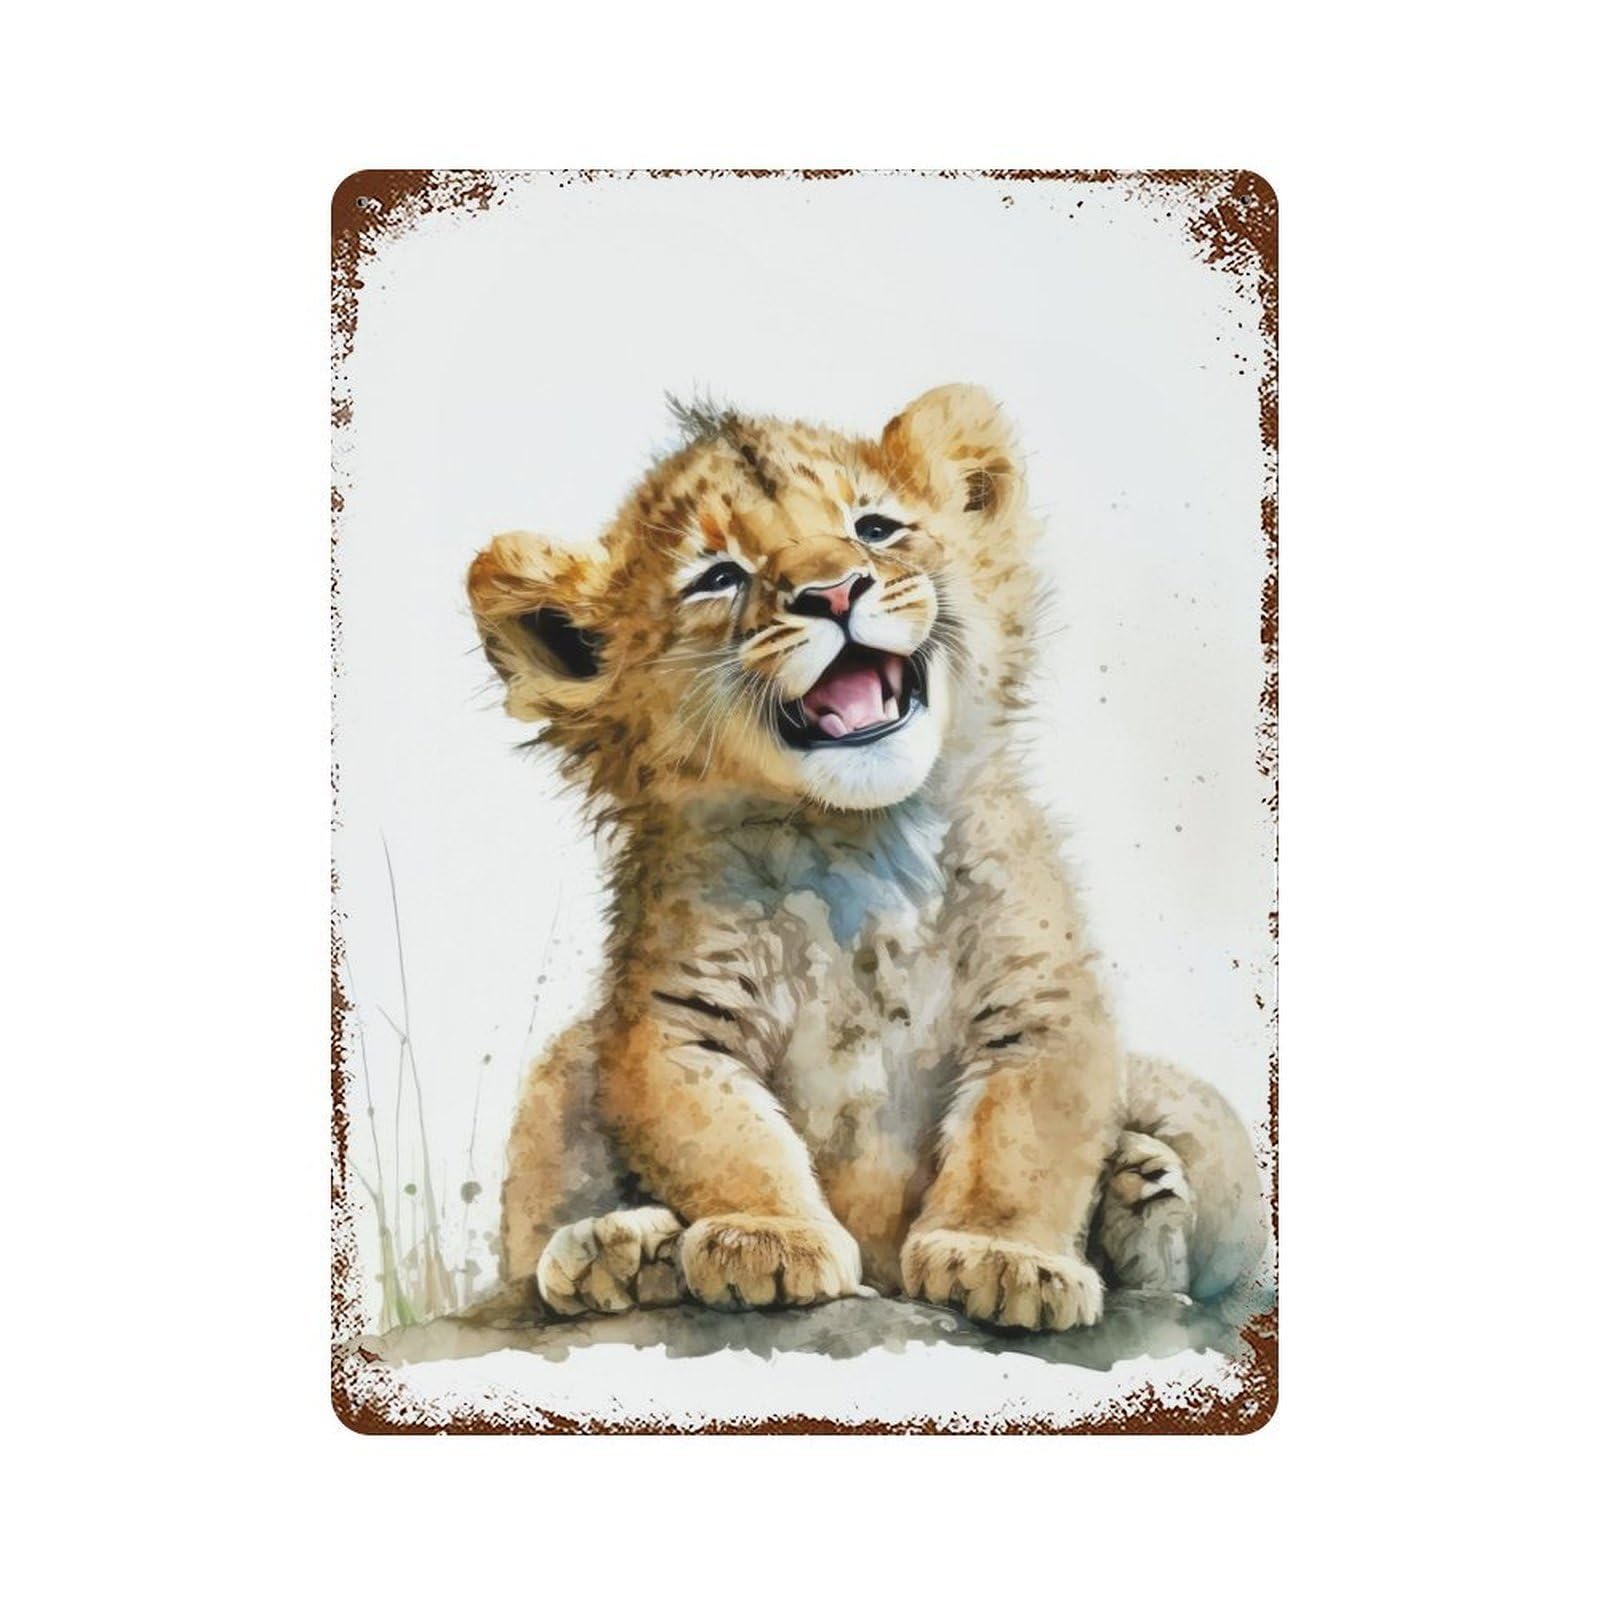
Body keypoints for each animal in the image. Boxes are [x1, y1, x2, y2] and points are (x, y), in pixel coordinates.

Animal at [465, 385, 1267, 1332]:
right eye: (718, 576)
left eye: (875, 528)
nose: (834, 591)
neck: (857, 840)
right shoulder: (676, 1015)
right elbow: (723, 1137)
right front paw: (766, 1239)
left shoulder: (1040, 996)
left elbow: (1023, 1138)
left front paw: (1004, 1259)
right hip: (558, 1077)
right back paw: (617, 1255)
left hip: (1208, 1129)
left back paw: (1141, 1203)